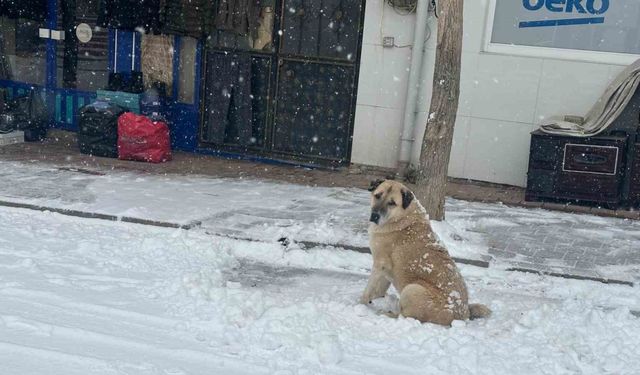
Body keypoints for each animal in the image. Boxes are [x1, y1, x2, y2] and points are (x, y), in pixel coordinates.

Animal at [360, 181, 490, 328]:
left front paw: (360, 303)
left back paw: (386, 313)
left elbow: (369, 289)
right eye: (377, 196)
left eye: (392, 203)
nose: (374, 216)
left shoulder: (379, 264)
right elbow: (378, 289)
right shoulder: (385, 271)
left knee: (405, 317)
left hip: (411, 289)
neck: (401, 216)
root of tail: (462, 316)